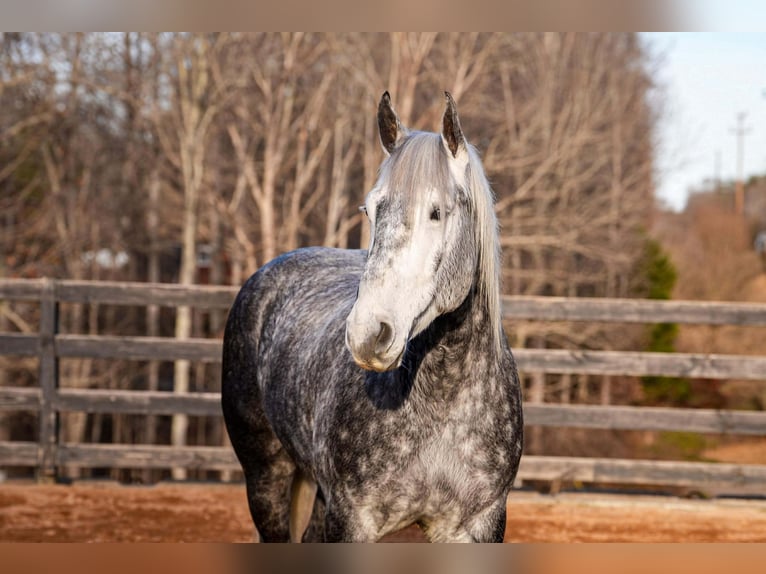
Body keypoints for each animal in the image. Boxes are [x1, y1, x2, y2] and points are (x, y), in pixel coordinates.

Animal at [221, 91, 523, 542]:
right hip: (266, 479)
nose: (368, 334)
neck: (444, 404)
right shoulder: (352, 521)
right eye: (370, 210)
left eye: (436, 212)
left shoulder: (478, 525)